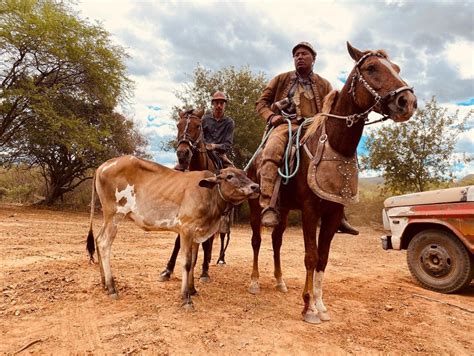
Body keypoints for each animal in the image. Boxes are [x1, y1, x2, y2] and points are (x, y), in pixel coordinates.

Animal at [88, 156, 260, 308]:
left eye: (245, 174)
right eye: (230, 176)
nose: (256, 187)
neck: (210, 195)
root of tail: (103, 166)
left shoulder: (196, 234)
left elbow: (194, 261)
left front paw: (192, 289)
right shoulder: (186, 229)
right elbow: (186, 262)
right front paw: (186, 298)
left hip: (108, 217)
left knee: (98, 239)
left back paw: (104, 283)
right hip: (115, 214)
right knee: (103, 243)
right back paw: (112, 288)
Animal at [158, 108, 231, 284]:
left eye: (198, 126)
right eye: (178, 125)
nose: (182, 153)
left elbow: (206, 242)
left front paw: (204, 272)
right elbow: (178, 240)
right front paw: (168, 270)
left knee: (216, 238)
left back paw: (214, 261)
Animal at [246, 41, 416, 322]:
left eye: (397, 68)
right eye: (371, 67)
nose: (408, 101)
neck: (335, 145)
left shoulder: (333, 213)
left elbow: (323, 258)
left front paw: (320, 304)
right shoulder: (310, 211)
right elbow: (310, 256)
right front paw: (308, 307)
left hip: (283, 209)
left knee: (277, 240)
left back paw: (280, 281)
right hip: (254, 205)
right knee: (257, 241)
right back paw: (255, 282)